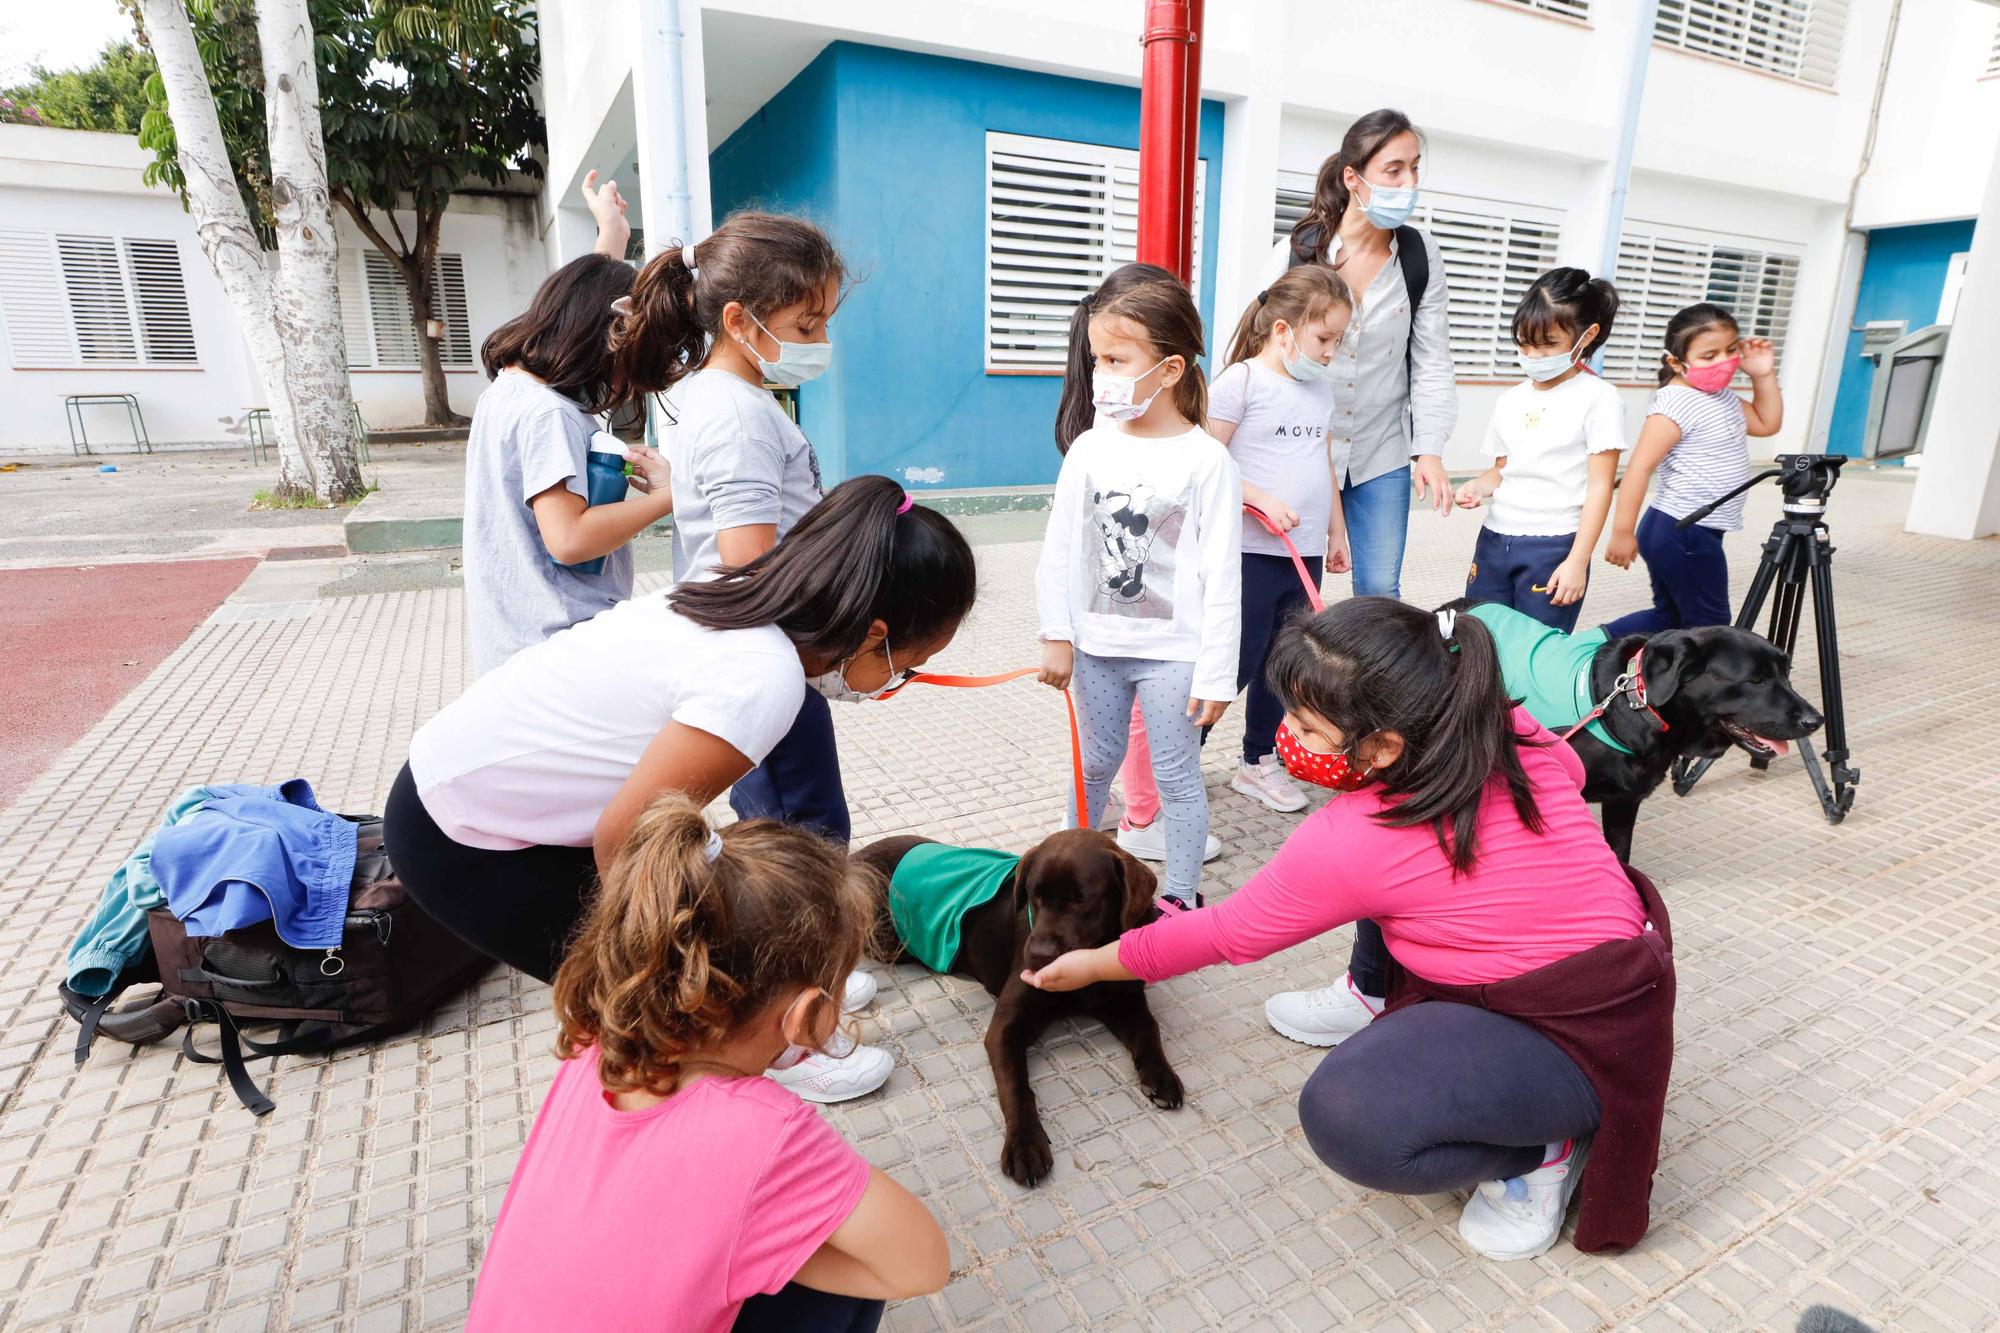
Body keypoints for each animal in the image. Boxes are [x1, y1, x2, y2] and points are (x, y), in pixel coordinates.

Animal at [852, 824, 1176, 1176]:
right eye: (1035, 896)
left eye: (1080, 899)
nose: (1037, 955)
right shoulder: (1007, 1025)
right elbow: (1016, 1085)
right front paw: (1025, 1142)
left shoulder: (1126, 1000)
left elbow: (1150, 1029)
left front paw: (1162, 1076)